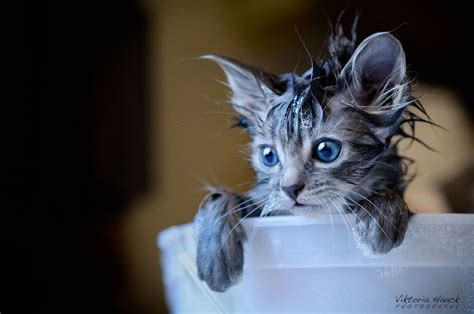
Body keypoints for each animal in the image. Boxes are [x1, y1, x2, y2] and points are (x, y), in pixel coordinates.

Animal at [193, 23, 430, 294]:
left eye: (326, 151)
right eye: (268, 156)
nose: (289, 189)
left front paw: (382, 213)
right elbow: (219, 196)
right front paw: (214, 254)